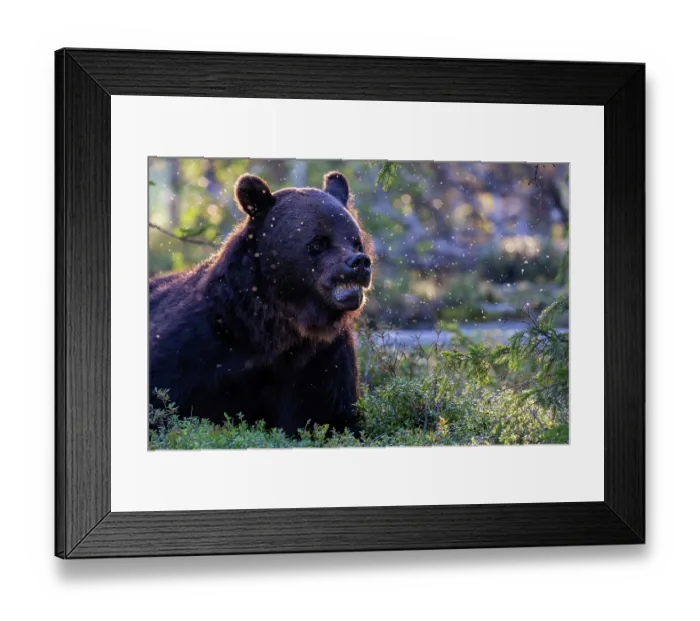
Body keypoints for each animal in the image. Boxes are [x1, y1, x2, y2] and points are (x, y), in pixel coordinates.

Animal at [149, 171, 373, 437]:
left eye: (355, 241)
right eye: (319, 242)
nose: (359, 263)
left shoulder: (320, 362)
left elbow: (332, 417)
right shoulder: (196, 352)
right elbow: (166, 395)